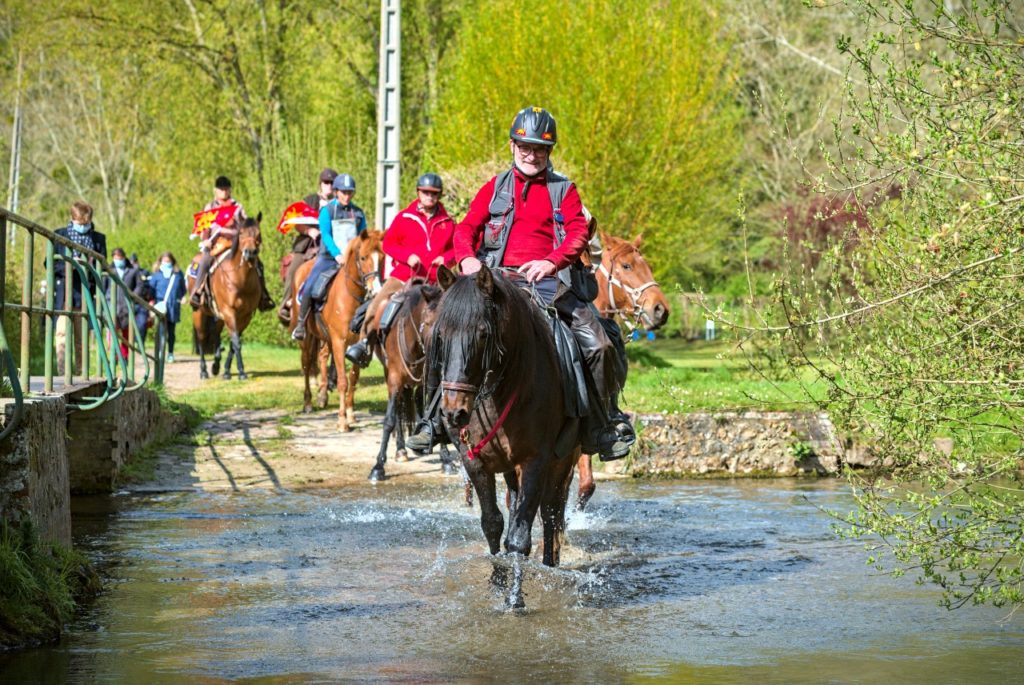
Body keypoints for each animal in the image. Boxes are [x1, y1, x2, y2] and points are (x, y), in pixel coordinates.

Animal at [189, 213, 266, 378]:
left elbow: (233, 342)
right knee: (201, 338)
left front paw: (226, 370)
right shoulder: (230, 311)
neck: (240, 280)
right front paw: (241, 372)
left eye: (258, 234)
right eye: (241, 233)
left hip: (218, 315)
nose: (250, 253)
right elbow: (236, 341)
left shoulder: (246, 315)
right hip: (198, 312)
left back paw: (216, 365)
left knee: (215, 334)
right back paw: (204, 371)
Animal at [288, 232, 385, 430]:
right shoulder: (340, 342)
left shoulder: (355, 345)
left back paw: (323, 395)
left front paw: (351, 414)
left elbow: (353, 379)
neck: (351, 296)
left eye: (382, 258)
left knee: (323, 356)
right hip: (307, 338)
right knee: (307, 363)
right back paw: (308, 403)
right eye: (363, 258)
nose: (376, 290)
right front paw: (342, 421)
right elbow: (342, 381)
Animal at [428, 264, 581, 606]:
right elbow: (493, 523)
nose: (453, 413)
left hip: (562, 462)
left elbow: (520, 537)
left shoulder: (536, 461)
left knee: (551, 516)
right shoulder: (474, 462)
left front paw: (515, 599)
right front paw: (497, 582)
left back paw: (549, 567)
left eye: (483, 334)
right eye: (441, 334)